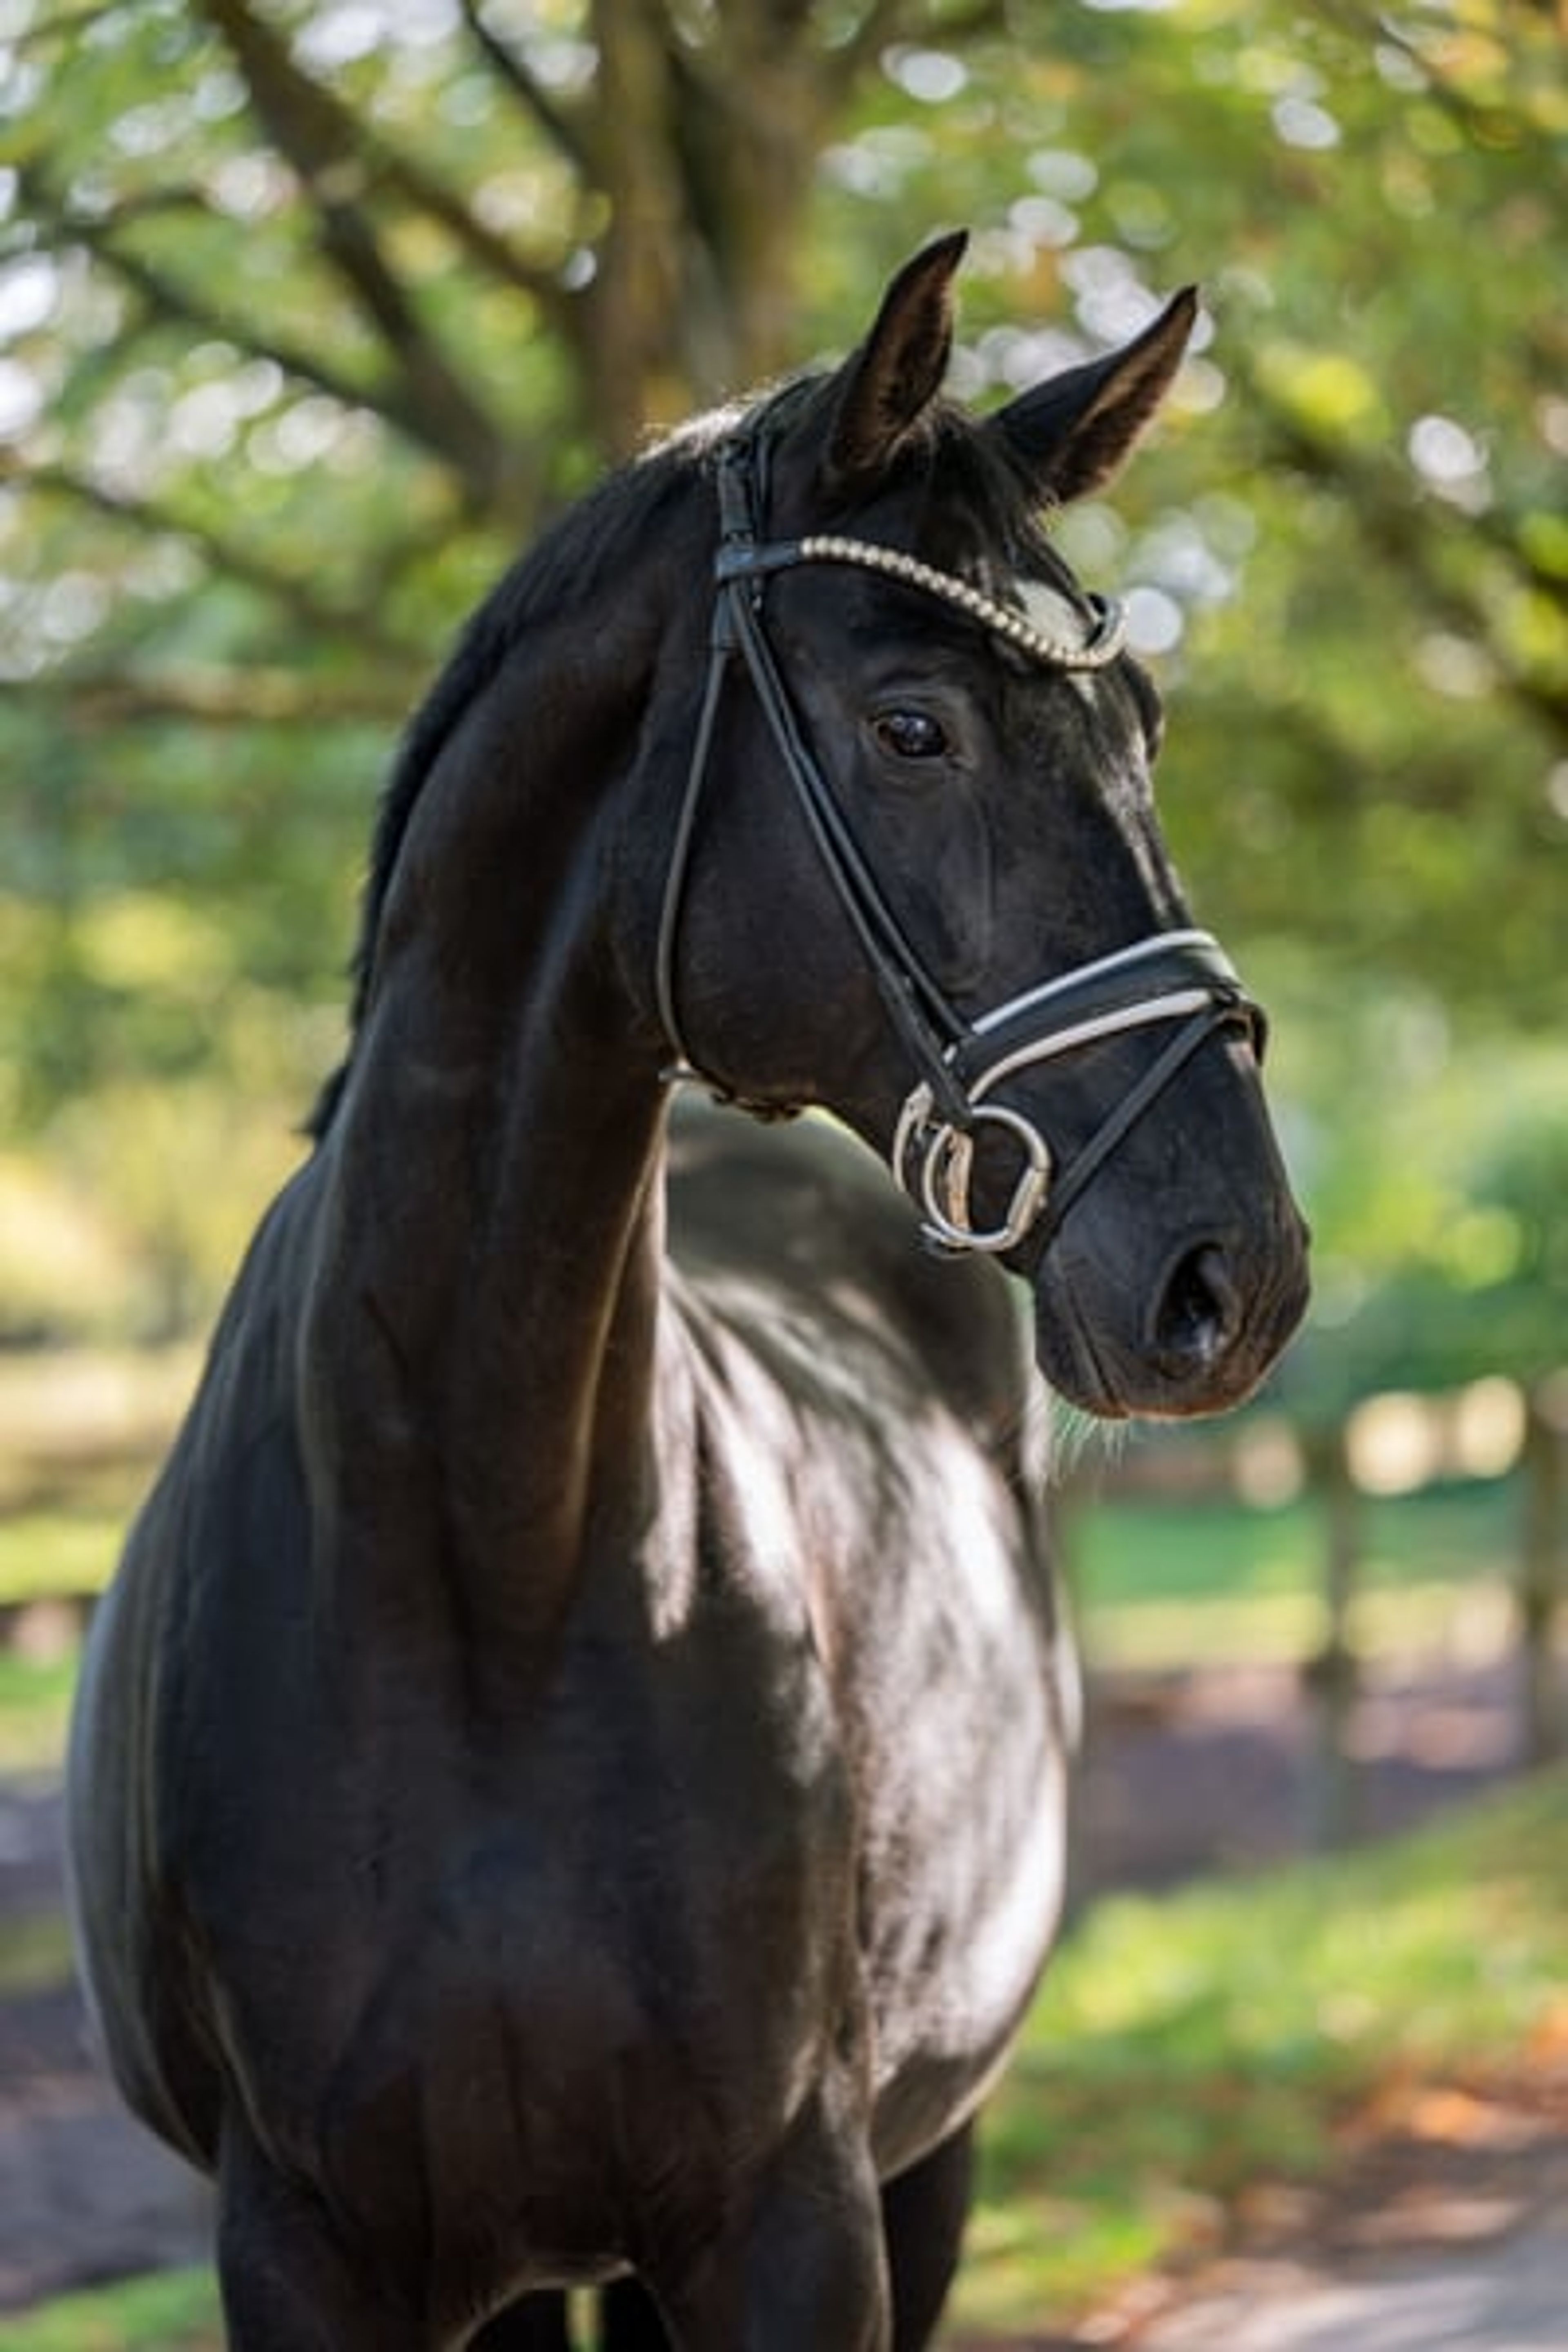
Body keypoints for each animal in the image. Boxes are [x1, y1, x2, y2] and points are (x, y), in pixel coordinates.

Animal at [67, 231, 1309, 2350]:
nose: (1236, 1268)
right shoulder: (304, 2246)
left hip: (925, 2157)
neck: (479, 1558)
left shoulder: (791, 2213)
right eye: (913, 727)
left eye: (1143, 721)